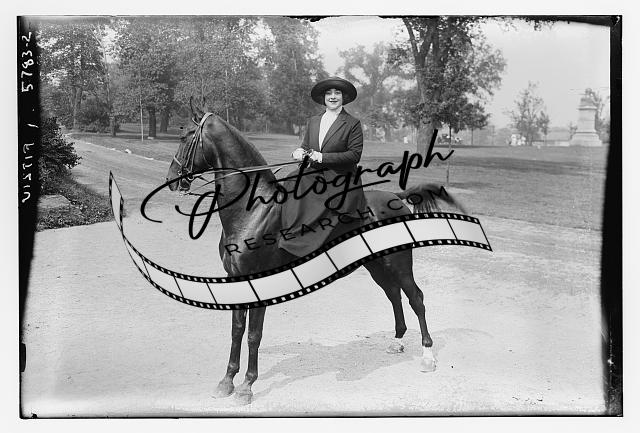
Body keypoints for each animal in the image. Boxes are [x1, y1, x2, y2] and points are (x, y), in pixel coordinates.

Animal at [165, 100, 467, 404]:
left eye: (185, 136)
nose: (171, 180)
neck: (254, 211)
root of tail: (396, 198)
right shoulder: (236, 280)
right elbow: (237, 330)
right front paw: (227, 381)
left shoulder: (258, 281)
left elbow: (253, 334)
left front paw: (247, 386)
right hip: (377, 266)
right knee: (394, 295)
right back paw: (397, 343)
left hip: (398, 264)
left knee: (416, 298)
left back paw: (427, 357)